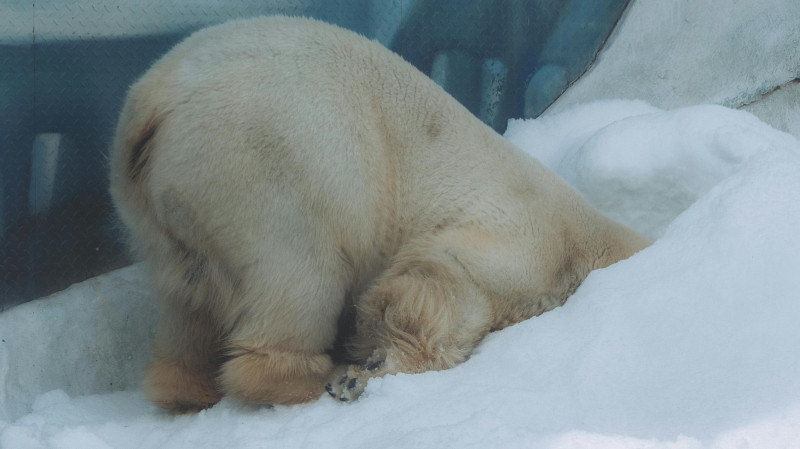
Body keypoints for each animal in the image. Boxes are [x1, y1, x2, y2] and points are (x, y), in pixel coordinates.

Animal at [109, 16, 650, 411]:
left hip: (165, 210)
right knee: (301, 272)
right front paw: (365, 368)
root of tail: (154, 104)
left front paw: (367, 362)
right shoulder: (524, 234)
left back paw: (184, 387)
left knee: (187, 299)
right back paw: (306, 377)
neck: (587, 240)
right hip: (271, 165)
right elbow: (445, 279)